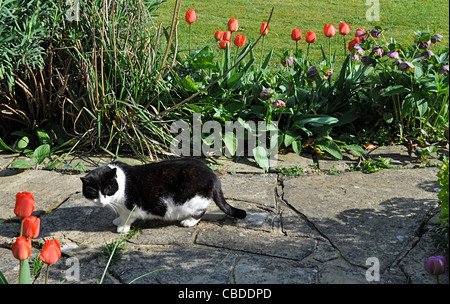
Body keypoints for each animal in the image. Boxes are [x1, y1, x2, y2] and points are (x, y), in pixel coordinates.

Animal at [81, 158, 250, 232]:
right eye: (93, 192)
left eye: (107, 190)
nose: (101, 202)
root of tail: (213, 174)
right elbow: (120, 215)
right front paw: (117, 221)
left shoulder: (130, 206)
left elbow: (127, 217)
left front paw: (122, 227)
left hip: (192, 200)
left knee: (201, 211)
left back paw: (188, 221)